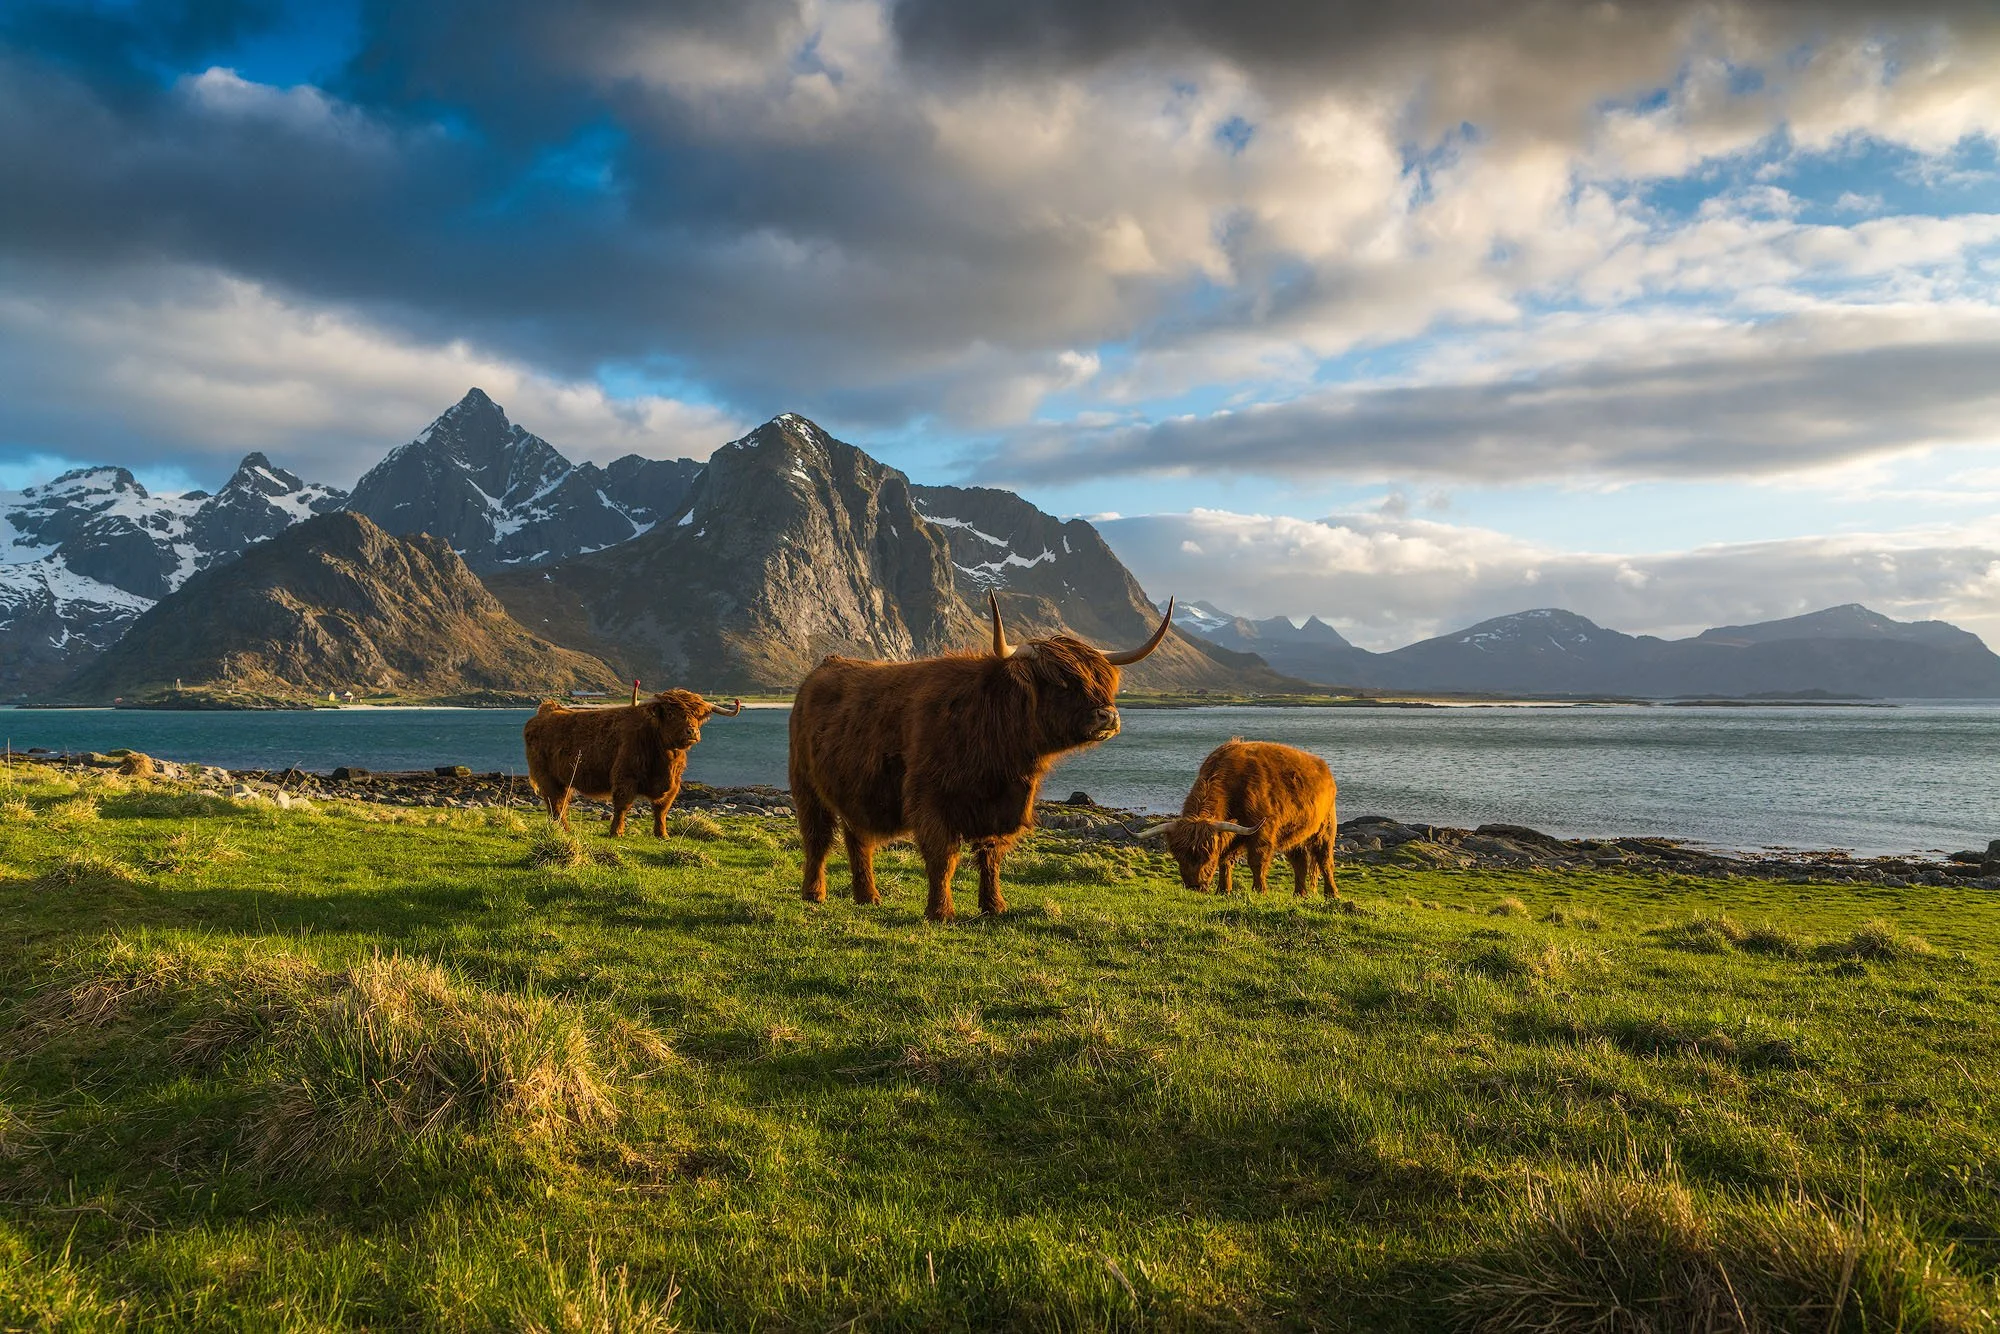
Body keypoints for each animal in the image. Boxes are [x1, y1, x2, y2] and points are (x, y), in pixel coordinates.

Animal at [524, 689, 741, 837]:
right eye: (671, 714)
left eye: (697, 716)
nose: (692, 732)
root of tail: (547, 711)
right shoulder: (626, 776)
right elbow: (622, 805)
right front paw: (616, 832)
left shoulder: (673, 784)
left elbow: (662, 809)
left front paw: (662, 834)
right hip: (547, 777)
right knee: (555, 802)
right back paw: (563, 829)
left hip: (565, 780)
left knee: (559, 803)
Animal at [789, 593, 1174, 921]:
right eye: (1061, 682)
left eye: (1103, 679)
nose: (1108, 717)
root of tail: (823, 668)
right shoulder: (930, 800)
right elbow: (944, 858)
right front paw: (941, 912)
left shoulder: (1002, 807)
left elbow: (990, 856)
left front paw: (994, 906)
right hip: (806, 786)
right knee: (817, 839)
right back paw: (814, 894)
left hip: (854, 789)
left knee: (858, 839)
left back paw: (868, 897)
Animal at [1137, 739, 1338, 898]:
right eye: (1179, 856)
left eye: (1208, 856)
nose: (1195, 886)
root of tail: (1323, 767)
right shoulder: (1231, 835)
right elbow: (1226, 860)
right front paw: (1223, 890)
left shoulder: (1262, 833)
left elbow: (1257, 861)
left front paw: (1259, 890)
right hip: (1294, 835)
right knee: (1300, 862)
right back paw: (1299, 894)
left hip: (1325, 829)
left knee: (1325, 861)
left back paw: (1332, 894)